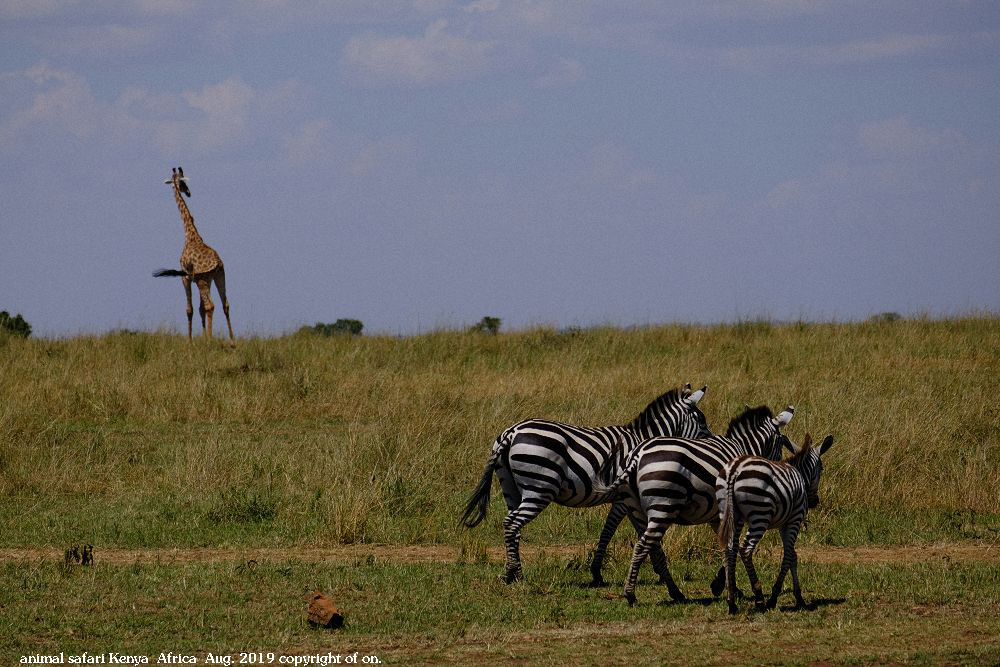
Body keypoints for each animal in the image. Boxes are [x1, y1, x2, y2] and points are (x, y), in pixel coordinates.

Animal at [152, 167, 234, 344]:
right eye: (183, 183)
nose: (189, 192)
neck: (190, 234)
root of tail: (217, 262)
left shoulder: (186, 277)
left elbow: (190, 309)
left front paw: (191, 342)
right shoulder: (204, 279)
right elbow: (200, 308)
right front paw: (201, 338)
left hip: (203, 280)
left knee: (211, 305)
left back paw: (211, 341)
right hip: (219, 275)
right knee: (225, 304)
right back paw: (232, 341)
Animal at [460, 386, 712, 584]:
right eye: (702, 421)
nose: (712, 443)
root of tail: (511, 433)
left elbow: (626, 530)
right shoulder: (625, 499)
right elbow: (613, 530)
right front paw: (601, 572)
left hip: (510, 488)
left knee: (512, 526)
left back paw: (510, 573)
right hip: (539, 489)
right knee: (512, 524)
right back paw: (518, 575)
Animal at [592, 402, 796, 604]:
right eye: (781, 445)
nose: (776, 472)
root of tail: (637, 455)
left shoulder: (717, 518)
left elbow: (726, 547)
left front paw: (728, 587)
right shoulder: (734, 514)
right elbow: (733, 546)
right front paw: (722, 586)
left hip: (636, 509)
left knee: (653, 548)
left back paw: (675, 592)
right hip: (663, 506)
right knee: (643, 546)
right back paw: (631, 594)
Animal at [716, 434, 832, 616]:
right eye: (821, 469)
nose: (814, 502)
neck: (800, 474)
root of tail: (734, 469)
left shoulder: (784, 524)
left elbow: (793, 556)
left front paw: (798, 596)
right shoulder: (794, 520)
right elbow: (789, 555)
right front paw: (776, 596)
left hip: (730, 514)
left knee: (729, 550)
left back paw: (732, 602)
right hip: (759, 514)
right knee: (746, 549)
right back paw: (759, 597)